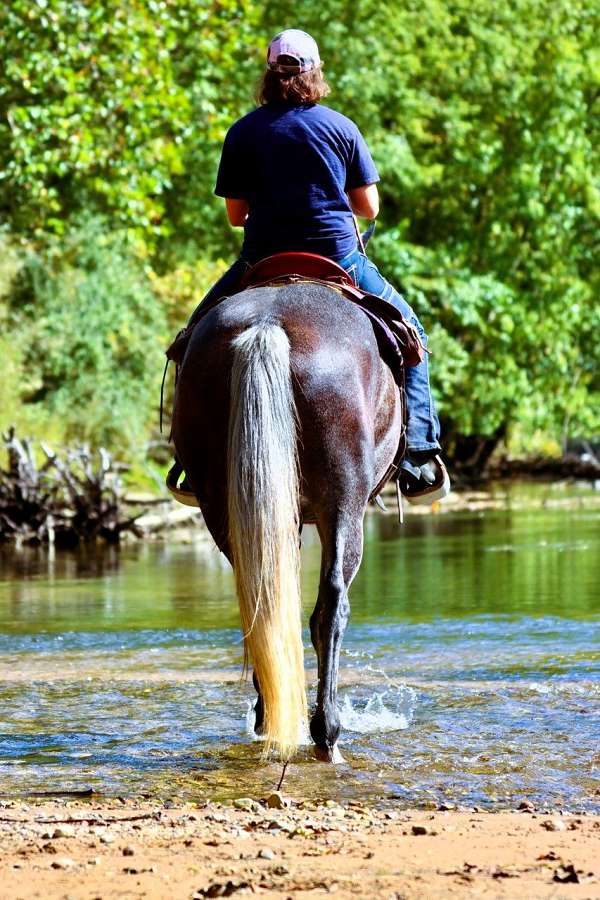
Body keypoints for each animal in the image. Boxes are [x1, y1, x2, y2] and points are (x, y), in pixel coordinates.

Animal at [170, 280, 404, 760]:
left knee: (259, 603)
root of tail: (266, 328)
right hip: (344, 502)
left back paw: (269, 720)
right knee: (331, 607)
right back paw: (326, 732)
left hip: (226, 506)